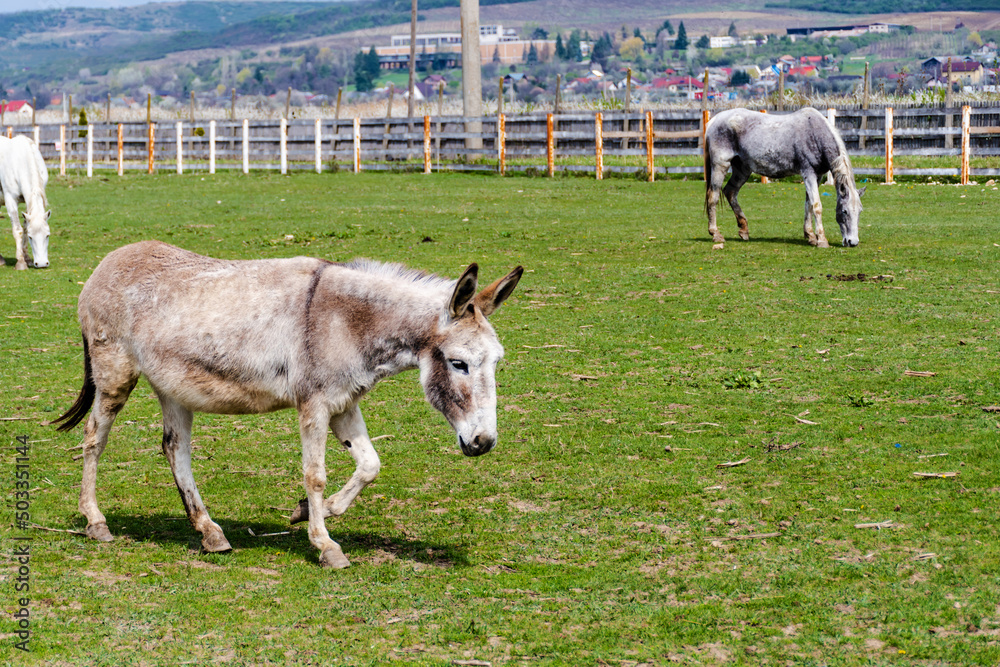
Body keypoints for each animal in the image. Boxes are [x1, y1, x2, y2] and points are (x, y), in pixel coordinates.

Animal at [0, 135, 51, 269]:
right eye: (31, 237)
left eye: (47, 235)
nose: (42, 263)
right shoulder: (10, 201)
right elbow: (18, 230)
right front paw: (21, 262)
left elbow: (25, 228)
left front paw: (27, 259)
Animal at [54, 241, 523, 568]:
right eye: (459, 363)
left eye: (497, 361)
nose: (483, 443)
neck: (347, 319)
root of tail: (108, 262)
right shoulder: (314, 404)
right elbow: (315, 475)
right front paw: (326, 544)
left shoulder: (344, 403)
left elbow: (370, 465)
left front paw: (308, 513)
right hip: (115, 375)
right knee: (94, 438)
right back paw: (96, 521)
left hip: (174, 387)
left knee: (175, 449)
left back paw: (210, 533)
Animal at [703, 107, 864, 248]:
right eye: (844, 211)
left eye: (860, 211)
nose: (852, 242)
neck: (815, 134)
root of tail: (714, 120)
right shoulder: (808, 173)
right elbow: (816, 206)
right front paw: (822, 240)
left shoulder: (817, 176)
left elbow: (808, 205)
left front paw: (810, 236)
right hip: (720, 166)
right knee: (713, 197)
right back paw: (716, 234)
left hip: (742, 170)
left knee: (730, 192)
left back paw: (744, 229)